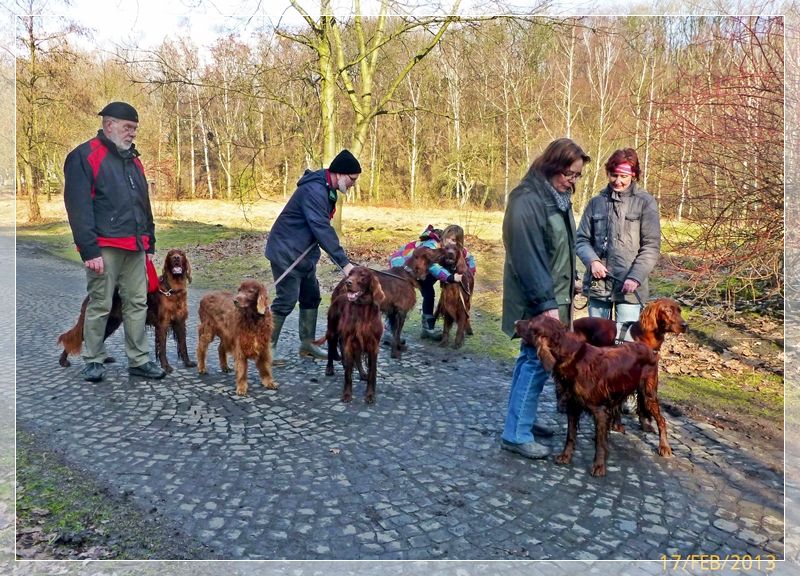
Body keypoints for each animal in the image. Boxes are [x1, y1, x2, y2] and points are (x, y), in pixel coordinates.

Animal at [57, 249, 196, 373]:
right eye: (170, 254)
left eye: (182, 254)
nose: (176, 258)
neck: (173, 290)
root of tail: (89, 296)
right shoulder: (162, 324)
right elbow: (162, 348)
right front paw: (165, 367)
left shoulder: (180, 322)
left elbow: (183, 345)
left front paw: (188, 363)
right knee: (74, 339)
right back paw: (63, 361)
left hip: (110, 324)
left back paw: (104, 359)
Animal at [324, 267, 385, 403]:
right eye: (350, 274)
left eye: (363, 275)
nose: (348, 282)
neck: (363, 309)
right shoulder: (350, 342)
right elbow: (348, 375)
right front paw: (347, 394)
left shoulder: (373, 345)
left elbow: (372, 373)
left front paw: (370, 395)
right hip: (332, 331)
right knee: (331, 347)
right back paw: (329, 368)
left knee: (357, 358)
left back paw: (362, 373)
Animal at [517, 314, 672, 477]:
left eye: (530, 324)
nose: (515, 322)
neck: (573, 357)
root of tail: (649, 350)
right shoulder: (573, 406)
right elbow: (570, 435)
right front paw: (566, 455)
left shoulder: (600, 411)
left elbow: (599, 442)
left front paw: (599, 465)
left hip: (648, 394)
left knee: (661, 420)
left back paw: (664, 447)